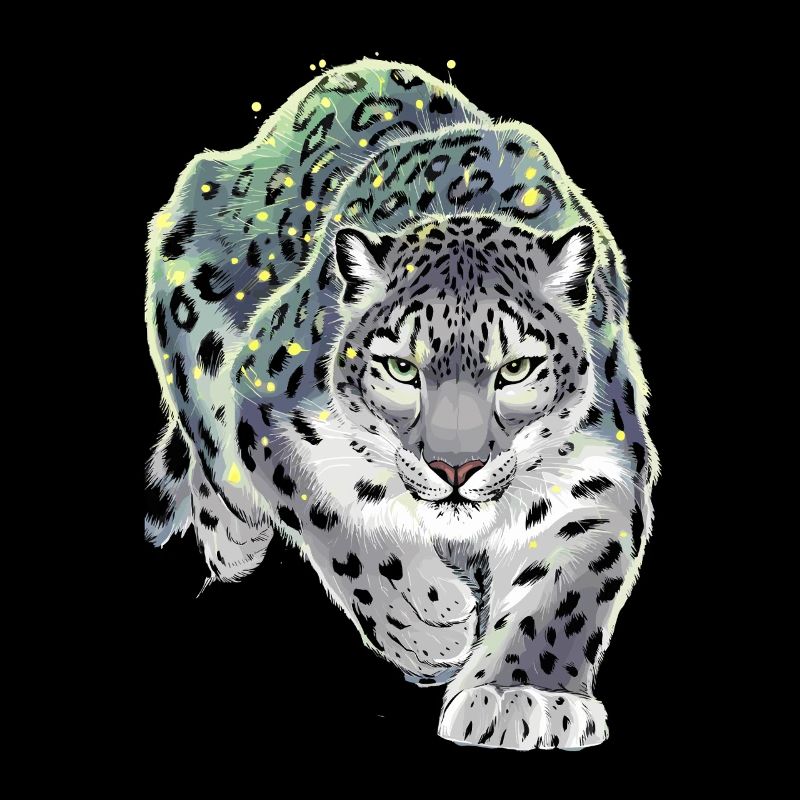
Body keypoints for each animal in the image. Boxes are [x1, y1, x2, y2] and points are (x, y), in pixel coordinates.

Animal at [144, 58, 659, 751]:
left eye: (516, 369)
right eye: (400, 368)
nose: (455, 470)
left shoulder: (597, 473)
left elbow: (567, 594)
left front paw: (522, 695)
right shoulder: (266, 399)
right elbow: (338, 520)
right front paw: (424, 622)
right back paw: (235, 534)